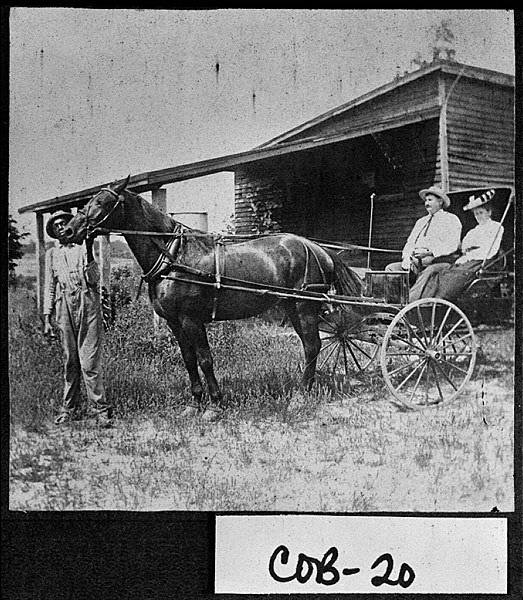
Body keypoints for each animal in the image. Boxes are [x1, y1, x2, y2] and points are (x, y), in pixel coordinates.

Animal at [63, 176, 363, 420]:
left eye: (102, 202)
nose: (68, 230)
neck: (174, 256)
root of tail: (318, 248)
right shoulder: (174, 322)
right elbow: (189, 360)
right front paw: (194, 404)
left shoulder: (192, 319)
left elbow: (205, 359)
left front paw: (215, 405)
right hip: (292, 307)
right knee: (311, 346)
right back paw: (305, 389)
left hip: (304, 306)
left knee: (312, 346)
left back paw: (300, 396)